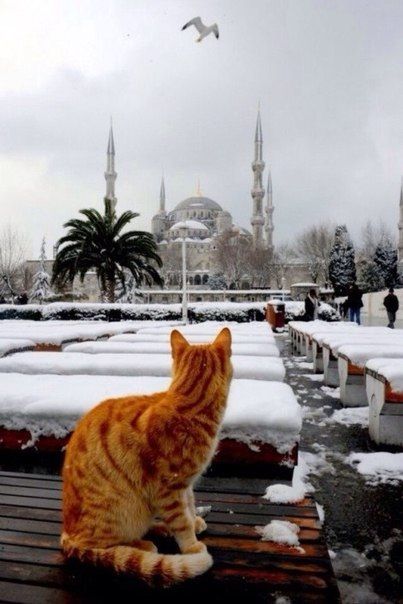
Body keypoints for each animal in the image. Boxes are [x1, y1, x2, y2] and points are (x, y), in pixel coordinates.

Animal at [61, 328, 232, 584]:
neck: (189, 404)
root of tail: (67, 533)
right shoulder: (169, 489)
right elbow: (182, 521)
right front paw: (192, 546)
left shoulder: (185, 484)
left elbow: (190, 505)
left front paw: (194, 521)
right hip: (125, 509)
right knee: (101, 546)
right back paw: (142, 544)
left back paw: (160, 528)